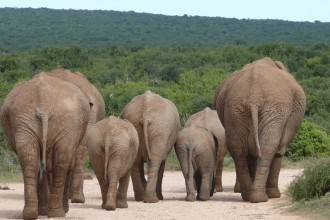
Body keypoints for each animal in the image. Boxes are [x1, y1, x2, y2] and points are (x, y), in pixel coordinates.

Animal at [0, 73, 90, 219]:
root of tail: (44, 104)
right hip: (64, 120)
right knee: (60, 162)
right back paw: (57, 213)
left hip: (24, 119)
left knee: (30, 159)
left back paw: (32, 214)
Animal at [214, 56, 306, 203]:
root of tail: (254, 96)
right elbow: (279, 150)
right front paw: (274, 195)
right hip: (275, 109)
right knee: (268, 147)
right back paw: (262, 197)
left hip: (235, 110)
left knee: (238, 149)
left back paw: (249, 196)